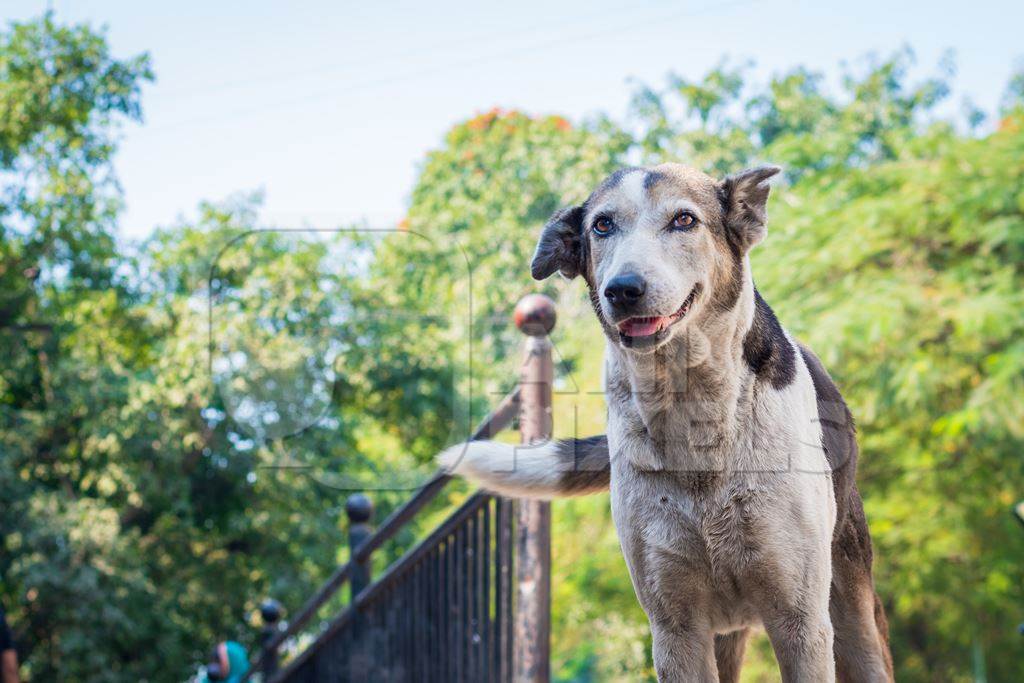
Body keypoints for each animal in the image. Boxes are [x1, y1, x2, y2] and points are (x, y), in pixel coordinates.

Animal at [436, 162, 892, 679]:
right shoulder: (675, 627)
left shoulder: (801, 621)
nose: (623, 289)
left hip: (851, 609)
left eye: (684, 220)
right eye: (602, 225)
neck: (691, 404)